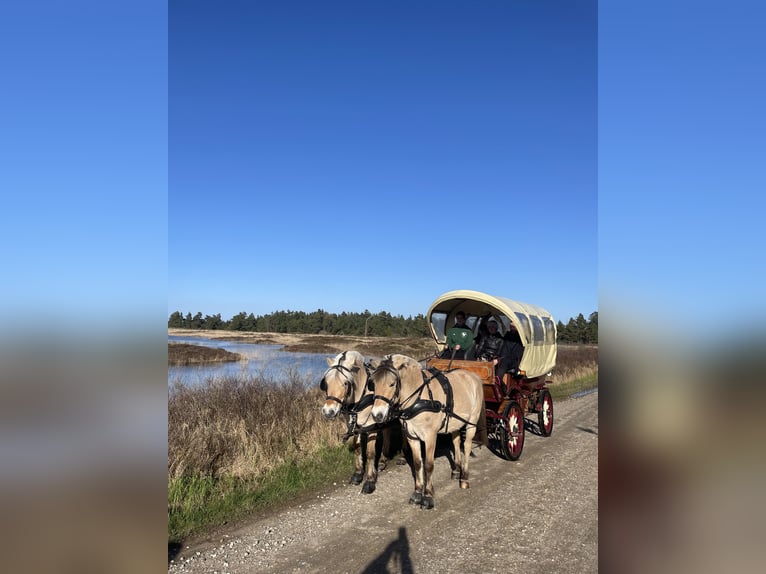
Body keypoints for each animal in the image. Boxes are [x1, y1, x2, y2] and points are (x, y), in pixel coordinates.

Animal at [320, 352, 392, 496]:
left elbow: (370, 454)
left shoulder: (371, 427)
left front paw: (370, 481)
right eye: (327, 382)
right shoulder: (353, 424)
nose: (328, 412)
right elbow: (357, 448)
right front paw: (358, 474)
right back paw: (383, 461)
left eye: (345, 383)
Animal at [368, 356, 484, 512]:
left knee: (466, 446)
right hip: (454, 423)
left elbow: (428, 465)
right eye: (373, 384)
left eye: (392, 384)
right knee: (456, 441)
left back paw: (464, 478)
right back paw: (456, 470)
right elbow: (418, 464)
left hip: (471, 423)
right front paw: (417, 493)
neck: (419, 398)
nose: (377, 415)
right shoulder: (411, 436)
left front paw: (428, 496)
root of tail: (473, 376)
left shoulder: (430, 436)